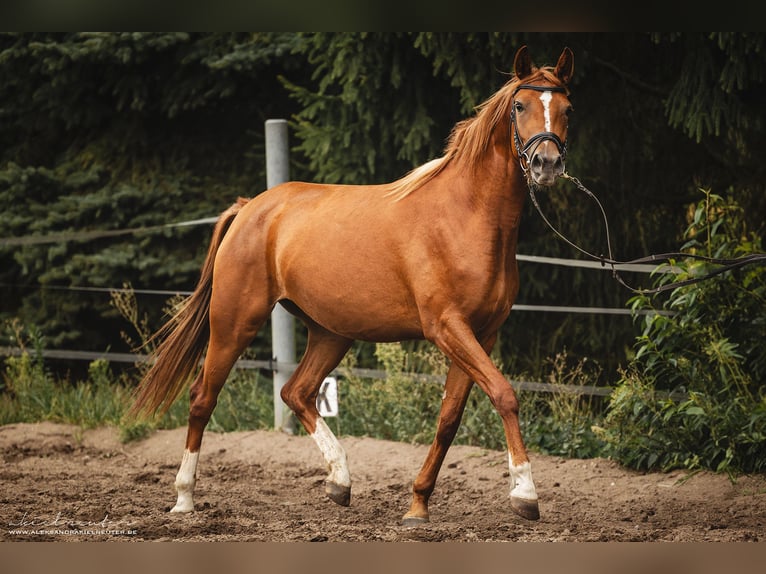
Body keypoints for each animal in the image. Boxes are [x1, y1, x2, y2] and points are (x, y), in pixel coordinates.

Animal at [132, 46, 576, 528]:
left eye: (567, 109)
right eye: (520, 106)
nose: (547, 164)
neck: (465, 218)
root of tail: (250, 208)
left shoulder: (482, 334)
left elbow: (449, 419)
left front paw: (418, 504)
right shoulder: (447, 328)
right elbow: (505, 394)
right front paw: (525, 493)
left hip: (331, 332)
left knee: (297, 392)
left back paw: (339, 481)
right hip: (235, 322)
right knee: (202, 399)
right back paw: (184, 499)